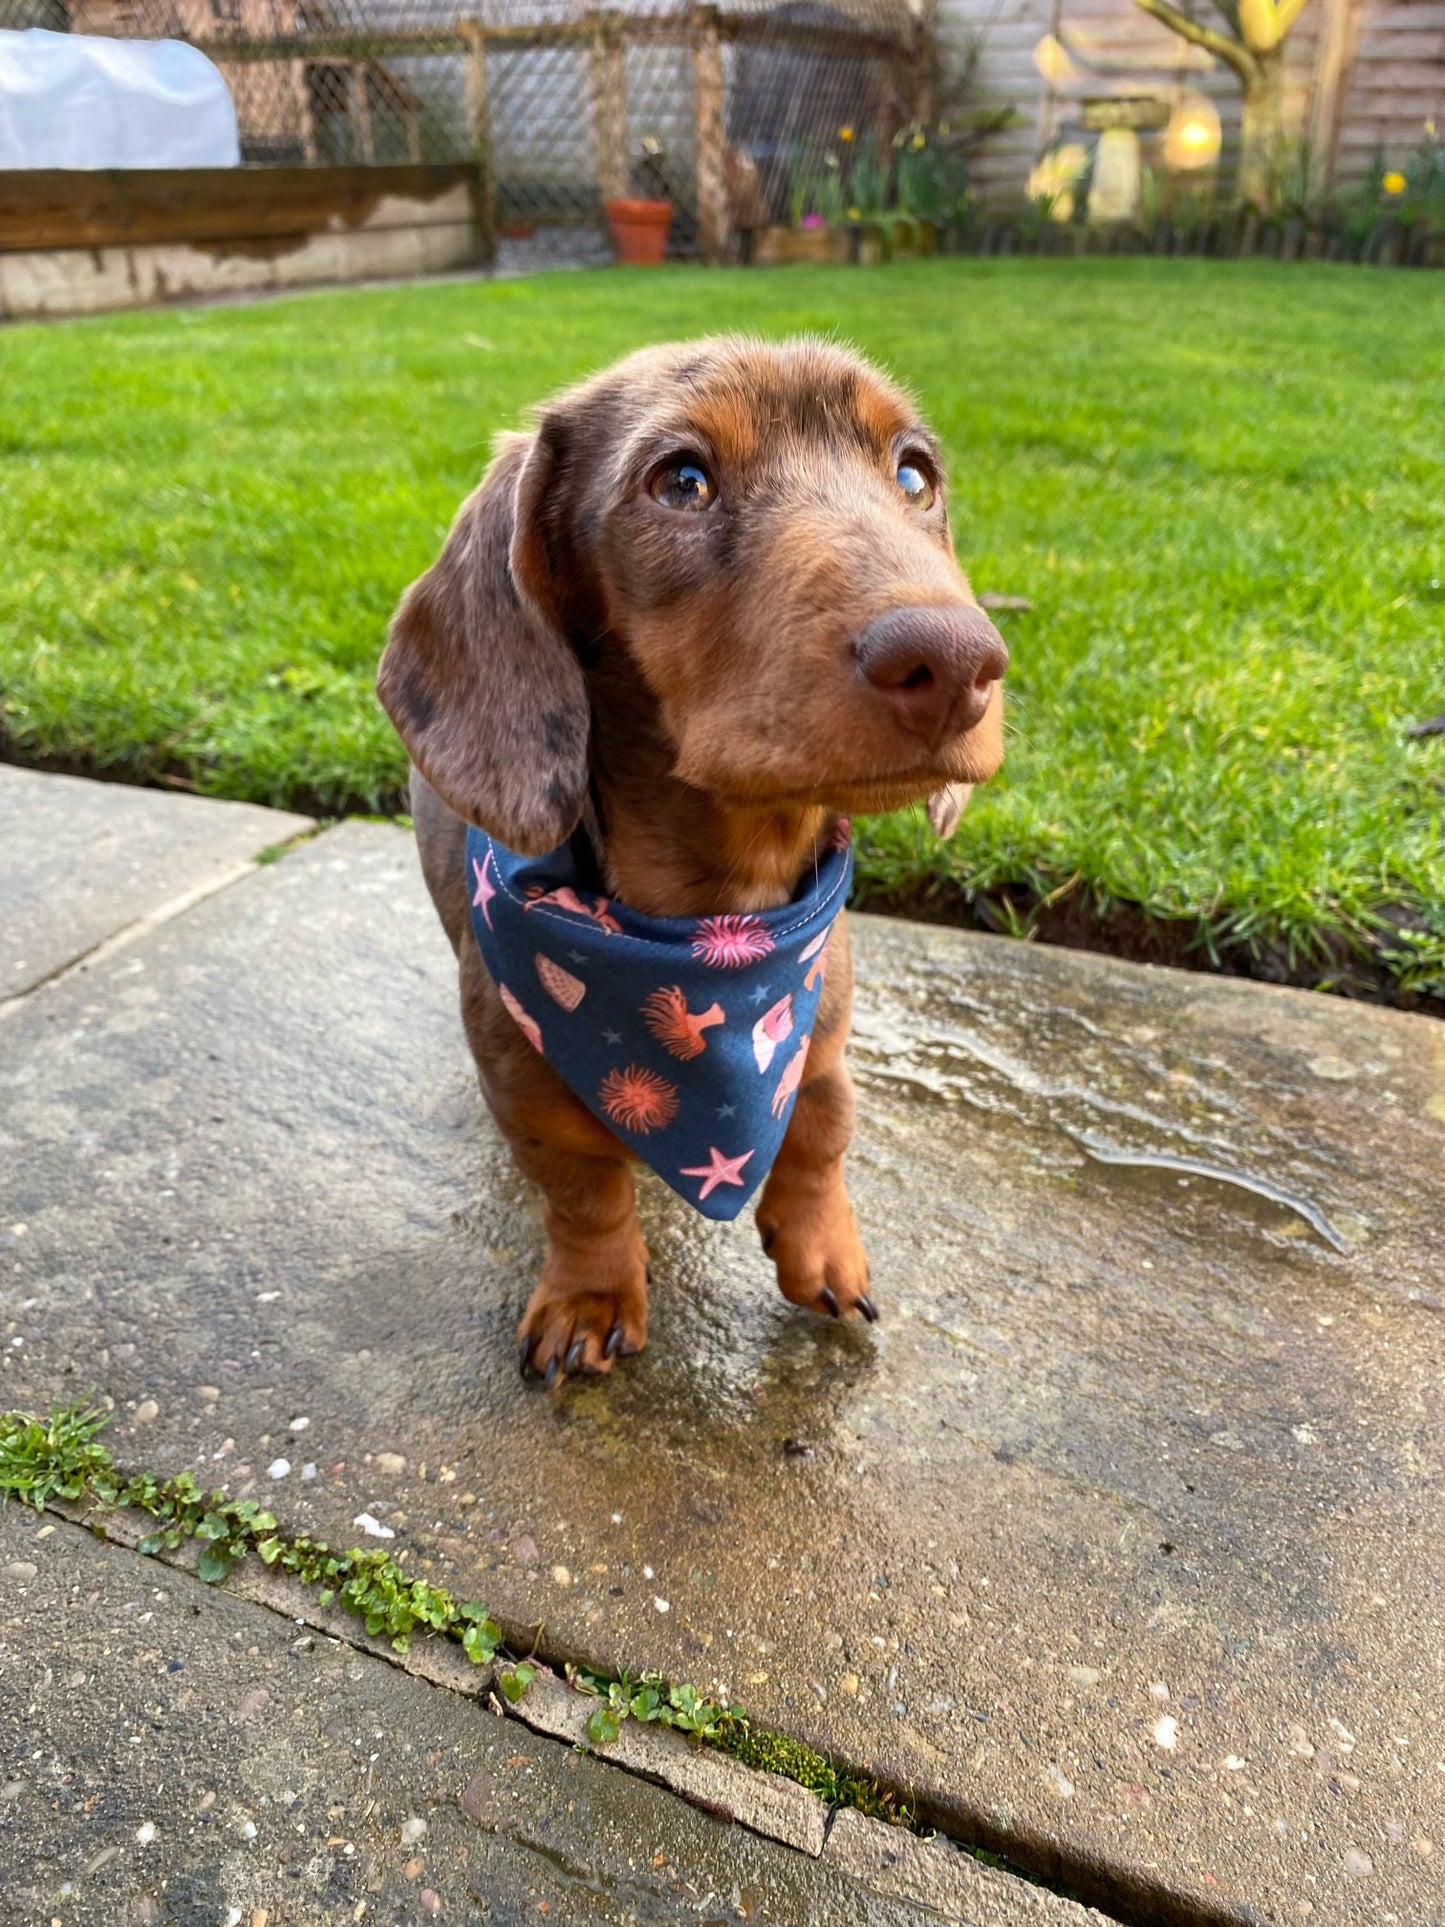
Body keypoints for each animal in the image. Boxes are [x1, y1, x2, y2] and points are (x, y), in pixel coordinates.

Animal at [375, 335, 1009, 1387]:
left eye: (914, 472)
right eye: (680, 480)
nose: (959, 662)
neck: (721, 926)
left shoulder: (819, 1038)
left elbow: (818, 1142)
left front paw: (822, 1249)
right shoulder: (524, 1082)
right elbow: (583, 1193)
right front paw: (590, 1295)